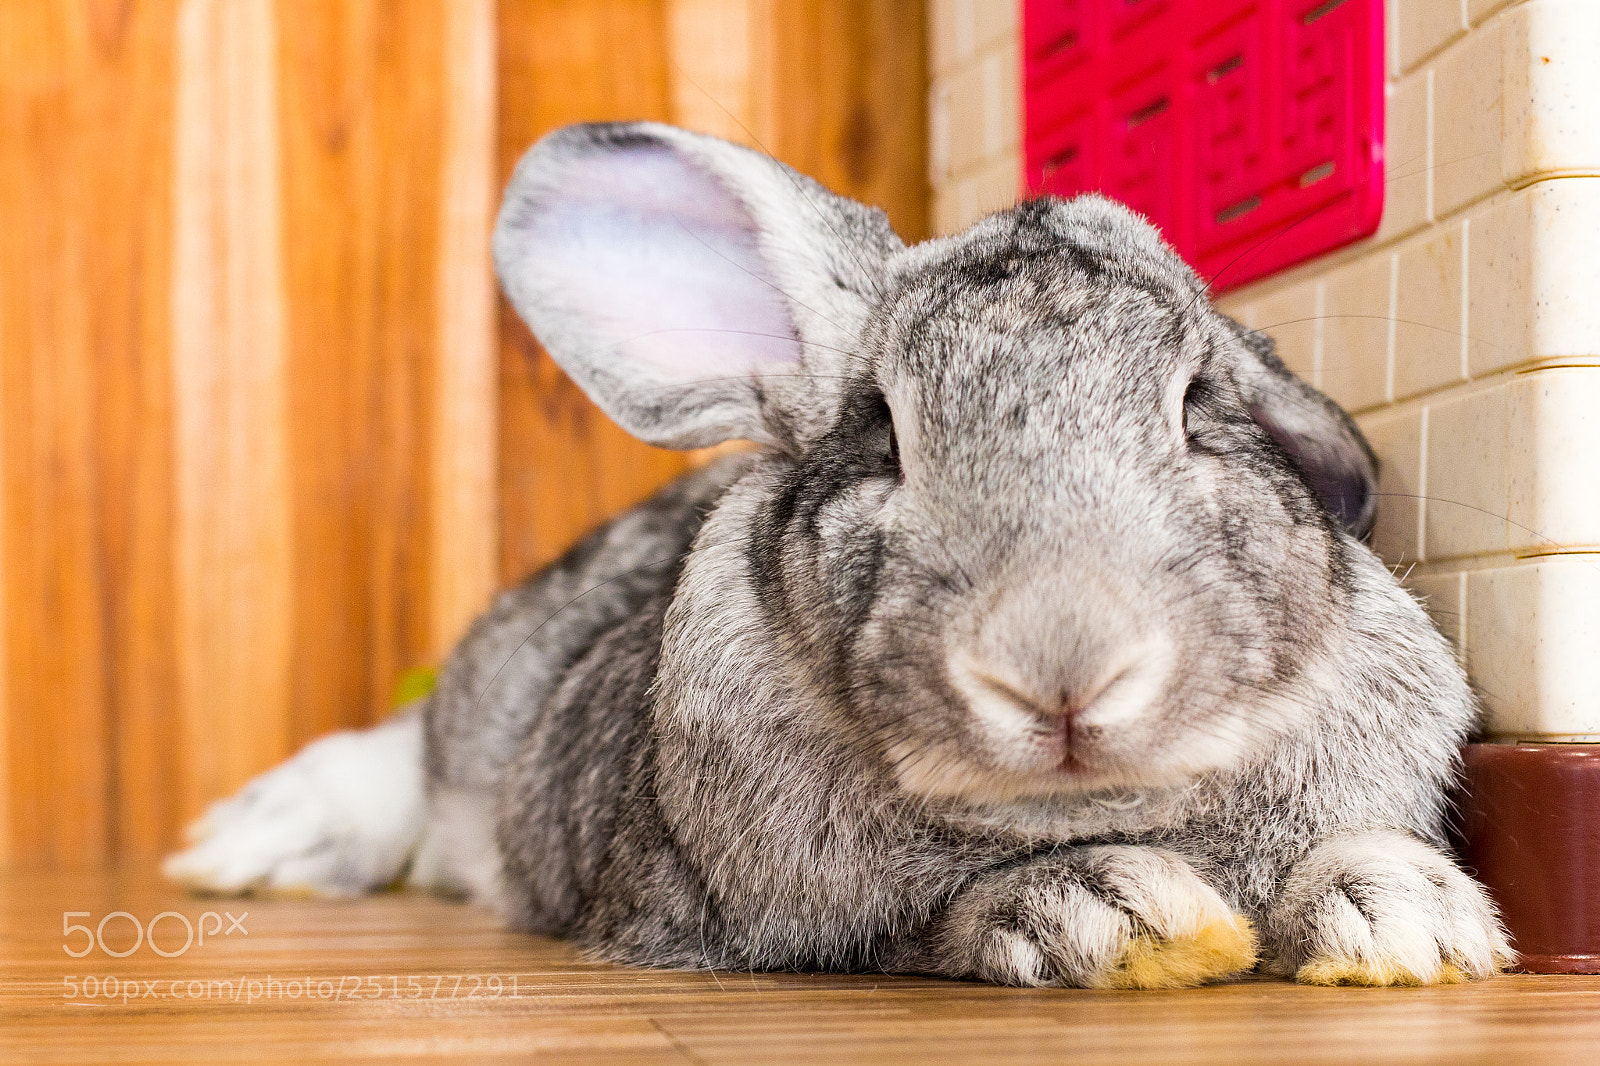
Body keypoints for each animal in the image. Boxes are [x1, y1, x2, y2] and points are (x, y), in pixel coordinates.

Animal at [165, 121, 1513, 989]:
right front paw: (1122, 912)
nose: (1060, 666)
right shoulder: (775, 923)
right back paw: (246, 848)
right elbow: (941, 920)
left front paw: (1411, 922)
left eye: (1197, 409)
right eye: (885, 435)